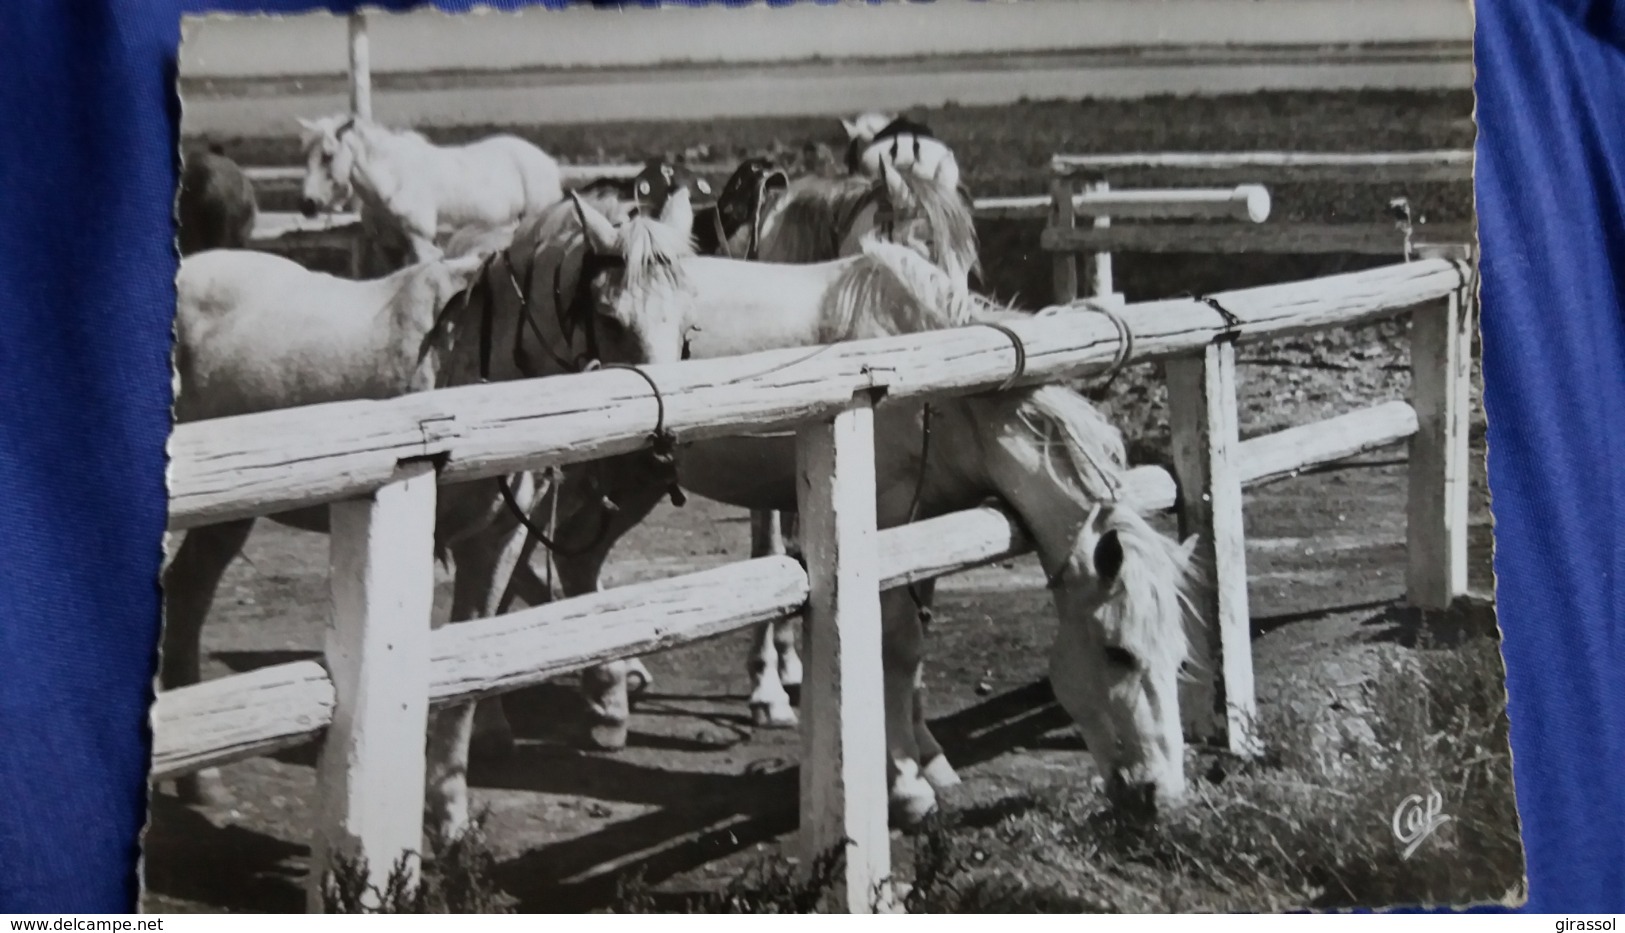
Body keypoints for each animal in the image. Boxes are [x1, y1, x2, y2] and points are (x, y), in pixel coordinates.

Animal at [168, 184, 689, 845]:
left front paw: (450, 817)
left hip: (229, 518)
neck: (472, 363)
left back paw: (200, 782)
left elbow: (474, 663)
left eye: (688, 320)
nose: (660, 454)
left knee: (187, 597)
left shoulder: (495, 544)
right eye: (610, 318)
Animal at [297, 113, 565, 273]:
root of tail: (548, 162)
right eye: (305, 155)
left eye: (328, 155)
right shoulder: (389, 248)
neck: (394, 179)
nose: (307, 204)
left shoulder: (422, 245)